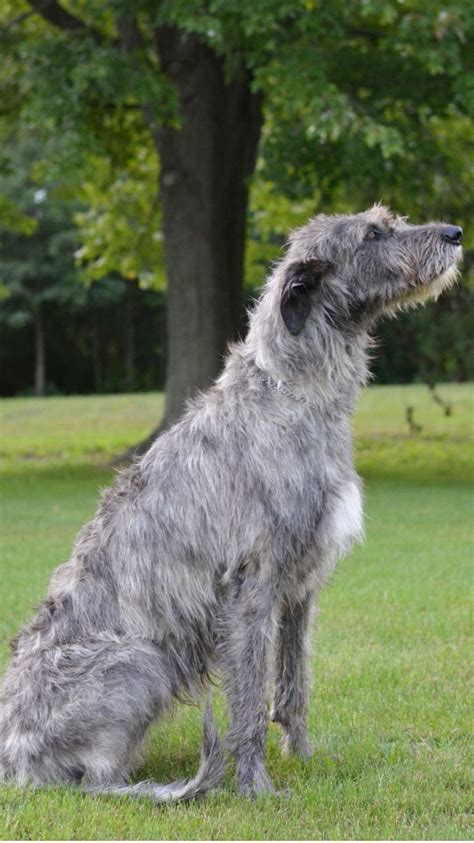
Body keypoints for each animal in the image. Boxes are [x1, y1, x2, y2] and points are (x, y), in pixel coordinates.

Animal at [0, 203, 462, 796]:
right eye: (373, 234)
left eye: (389, 219)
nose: (455, 234)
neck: (289, 393)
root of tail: (16, 757)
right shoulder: (252, 587)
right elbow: (248, 696)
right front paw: (256, 788)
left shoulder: (300, 587)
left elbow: (294, 683)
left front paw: (304, 758)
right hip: (141, 660)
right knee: (95, 784)